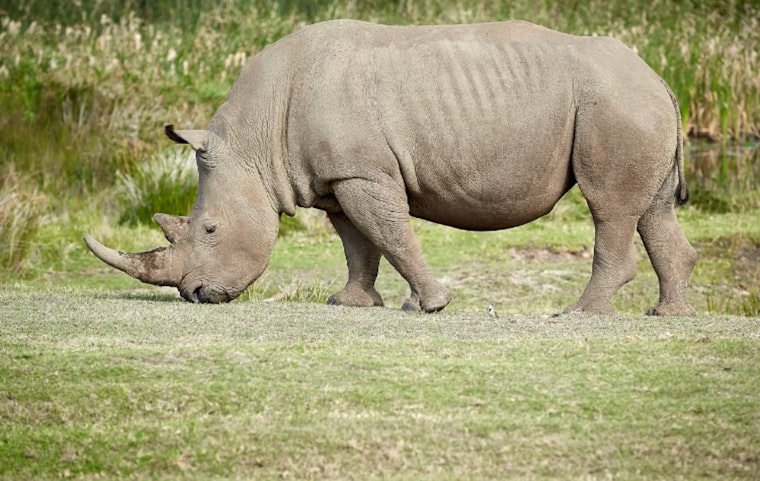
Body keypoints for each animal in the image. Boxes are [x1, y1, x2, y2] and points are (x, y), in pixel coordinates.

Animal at [84, 19, 697, 315]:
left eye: (210, 229)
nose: (195, 295)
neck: (254, 142)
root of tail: (658, 75)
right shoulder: (336, 177)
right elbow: (359, 243)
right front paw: (351, 304)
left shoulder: (362, 172)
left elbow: (391, 234)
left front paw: (431, 305)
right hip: (631, 99)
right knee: (653, 209)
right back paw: (668, 315)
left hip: (613, 102)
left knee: (608, 206)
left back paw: (580, 314)